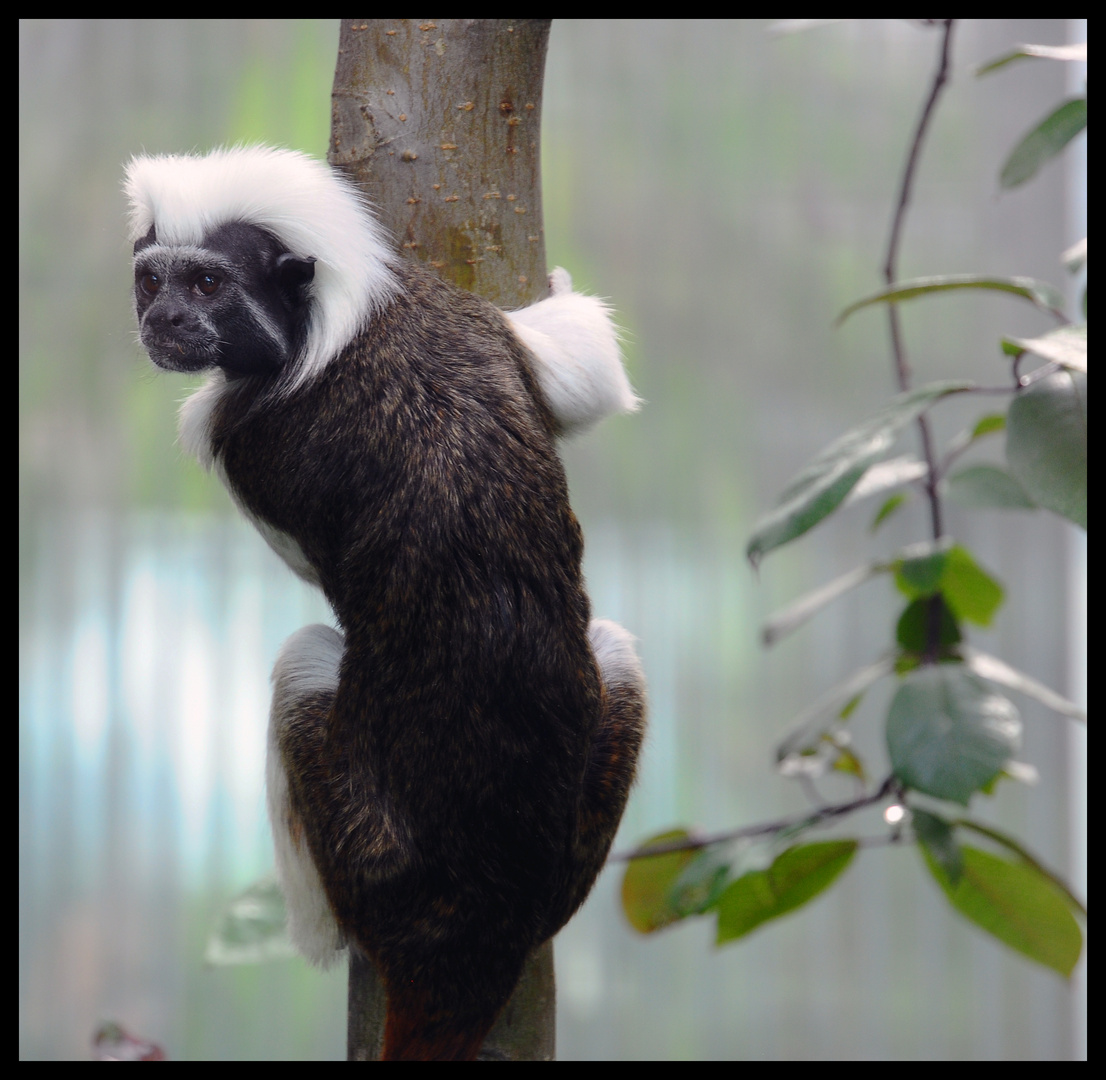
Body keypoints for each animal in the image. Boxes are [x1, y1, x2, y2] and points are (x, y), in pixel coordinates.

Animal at [126, 147, 645, 1057]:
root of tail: (476, 924)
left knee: (301, 660)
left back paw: (320, 930)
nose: (163, 322)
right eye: (152, 281)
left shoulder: (237, 432)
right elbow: (586, 383)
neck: (334, 332)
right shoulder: (469, 318)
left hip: (367, 856)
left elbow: (303, 565)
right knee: (617, 652)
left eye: (208, 284)